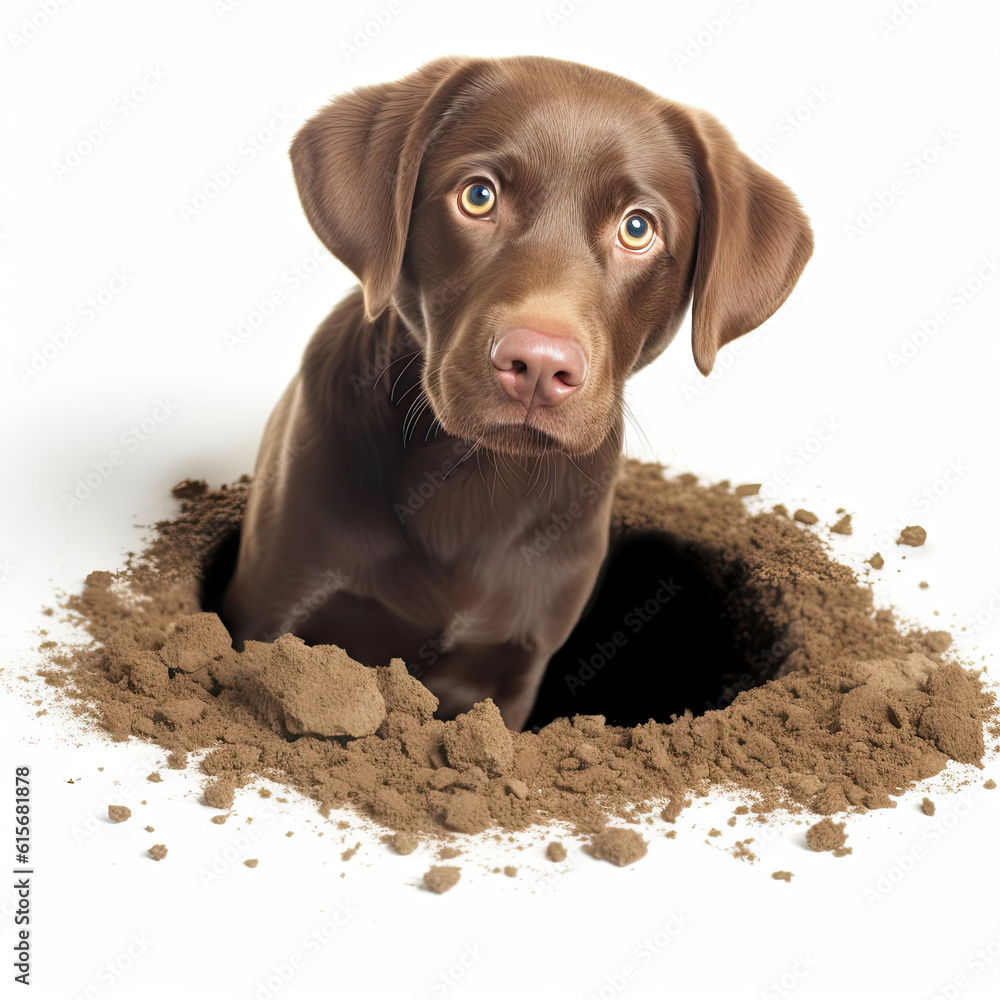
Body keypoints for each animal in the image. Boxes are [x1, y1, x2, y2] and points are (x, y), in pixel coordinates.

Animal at [221, 56, 812, 728]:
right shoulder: (270, 611)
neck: (473, 476)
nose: (537, 366)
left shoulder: (510, 672)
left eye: (638, 229)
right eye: (478, 196)